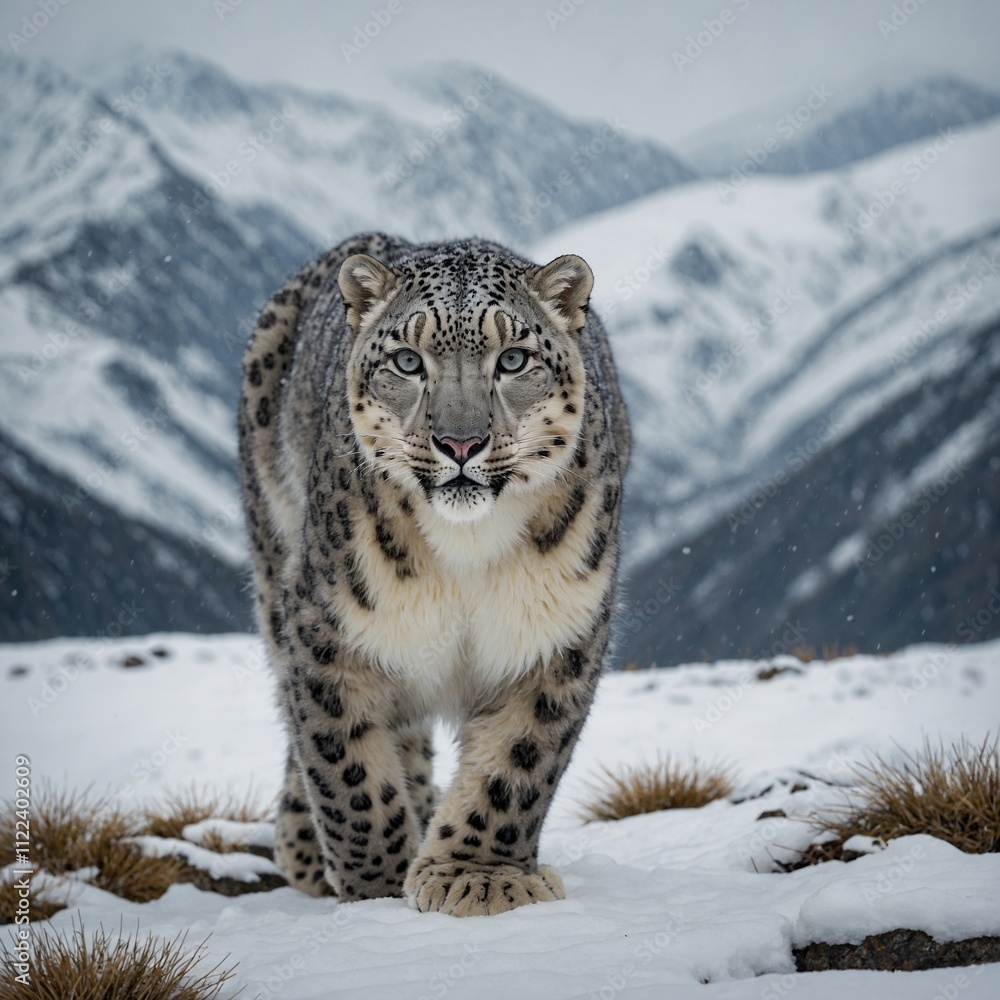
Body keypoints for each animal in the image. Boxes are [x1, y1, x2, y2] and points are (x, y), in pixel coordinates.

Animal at [238, 232, 629, 916]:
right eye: (407, 361)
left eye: (513, 358)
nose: (460, 443)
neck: (467, 552)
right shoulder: (325, 625)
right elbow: (348, 772)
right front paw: (376, 888)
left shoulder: (558, 630)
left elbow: (518, 764)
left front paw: (478, 877)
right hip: (276, 567)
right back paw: (309, 848)